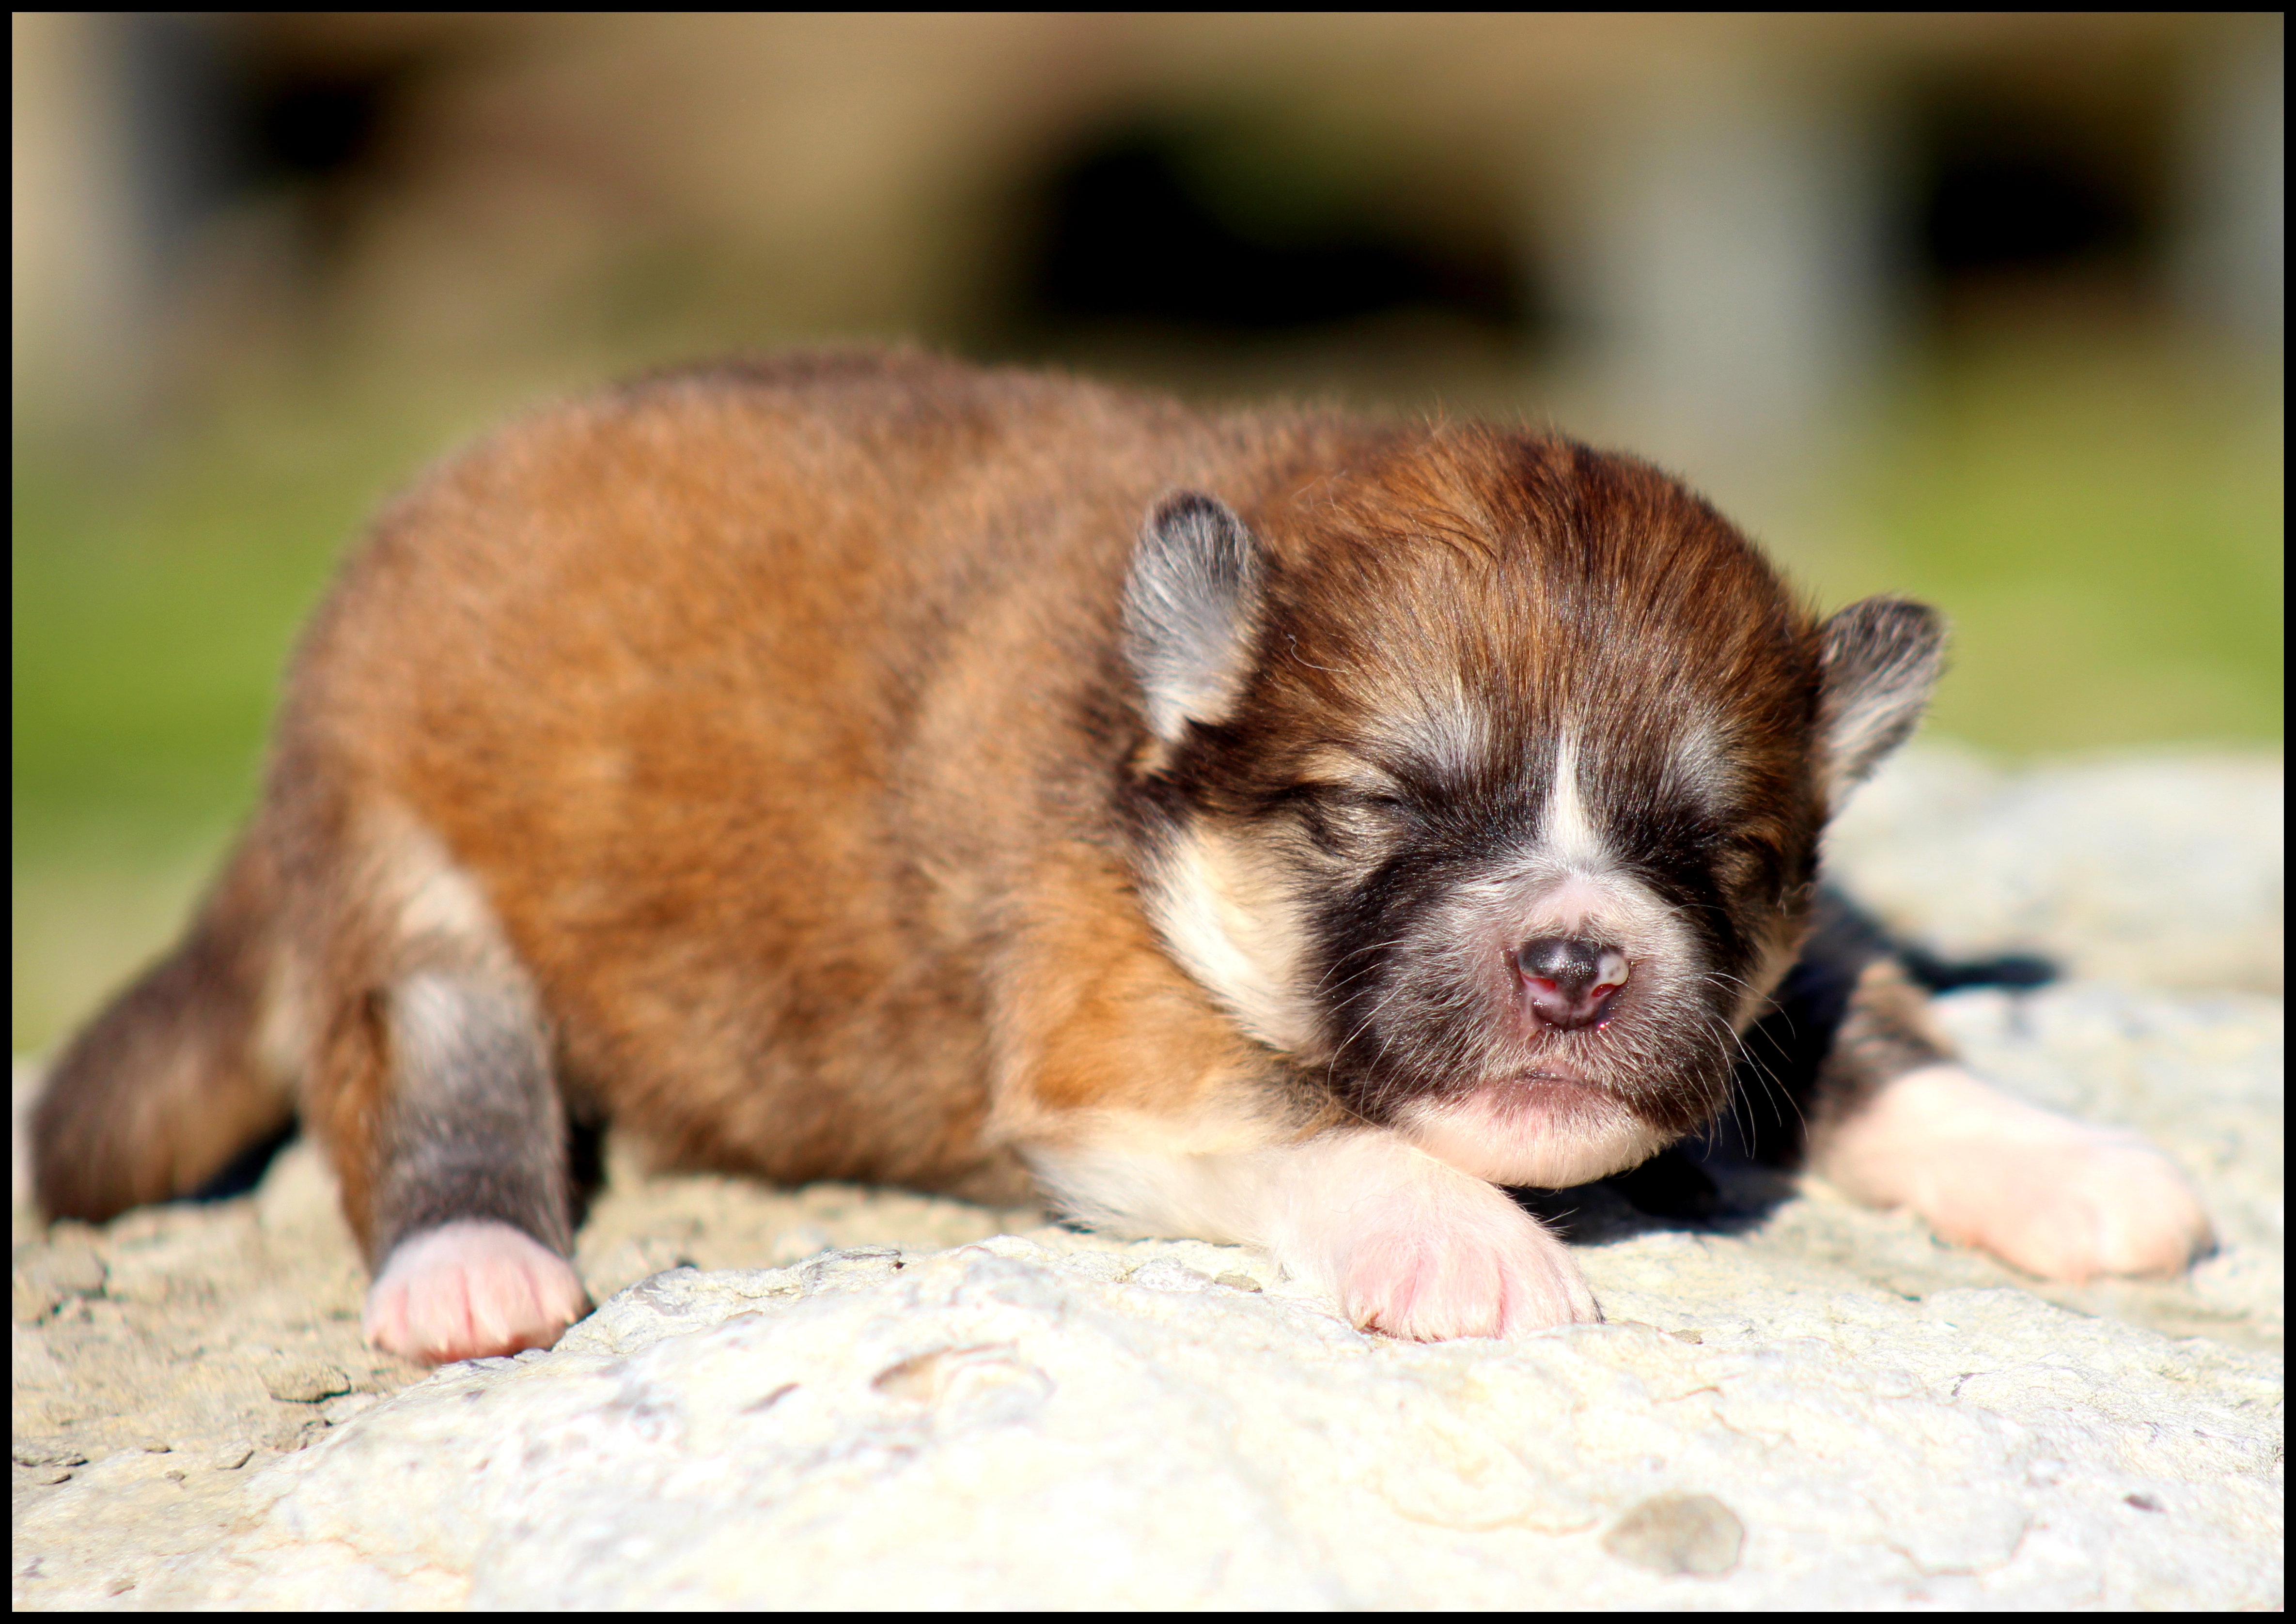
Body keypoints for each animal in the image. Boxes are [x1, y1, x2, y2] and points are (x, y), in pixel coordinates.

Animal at [27, 351, 2213, 1358]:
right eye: (1372, 812)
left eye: (1718, 856)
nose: (1575, 962)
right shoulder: (1104, 1034)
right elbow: (1304, 1117)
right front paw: (1462, 1241)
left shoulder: (1784, 963)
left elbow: (1859, 1022)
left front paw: (2071, 1162)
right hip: (400, 865)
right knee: (434, 1072)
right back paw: (472, 1268)